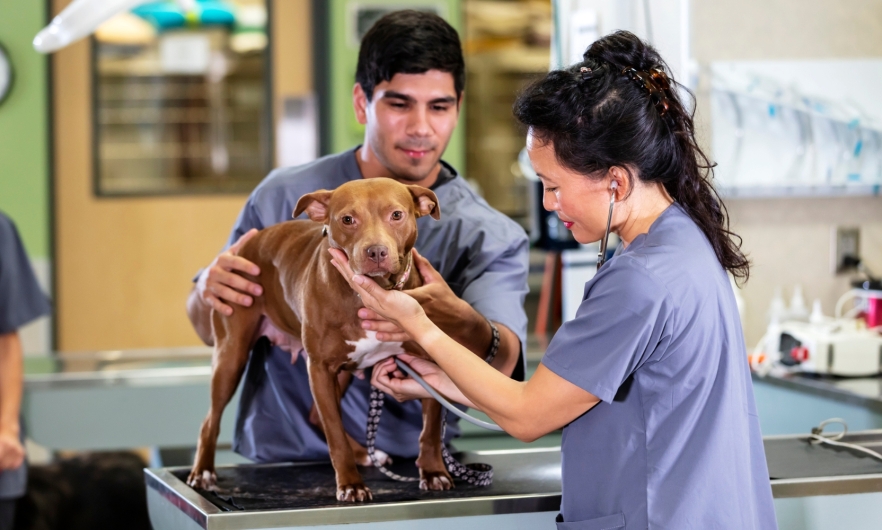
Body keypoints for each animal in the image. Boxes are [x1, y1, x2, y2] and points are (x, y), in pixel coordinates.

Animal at [184, 176, 446, 500]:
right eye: (347, 219)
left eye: (396, 215)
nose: (375, 252)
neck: (369, 294)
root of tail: (247, 246)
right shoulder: (320, 368)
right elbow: (335, 434)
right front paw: (351, 484)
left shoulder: (426, 360)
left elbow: (430, 429)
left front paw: (433, 471)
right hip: (231, 355)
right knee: (211, 420)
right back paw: (202, 471)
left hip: (341, 370)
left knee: (314, 414)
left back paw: (365, 453)